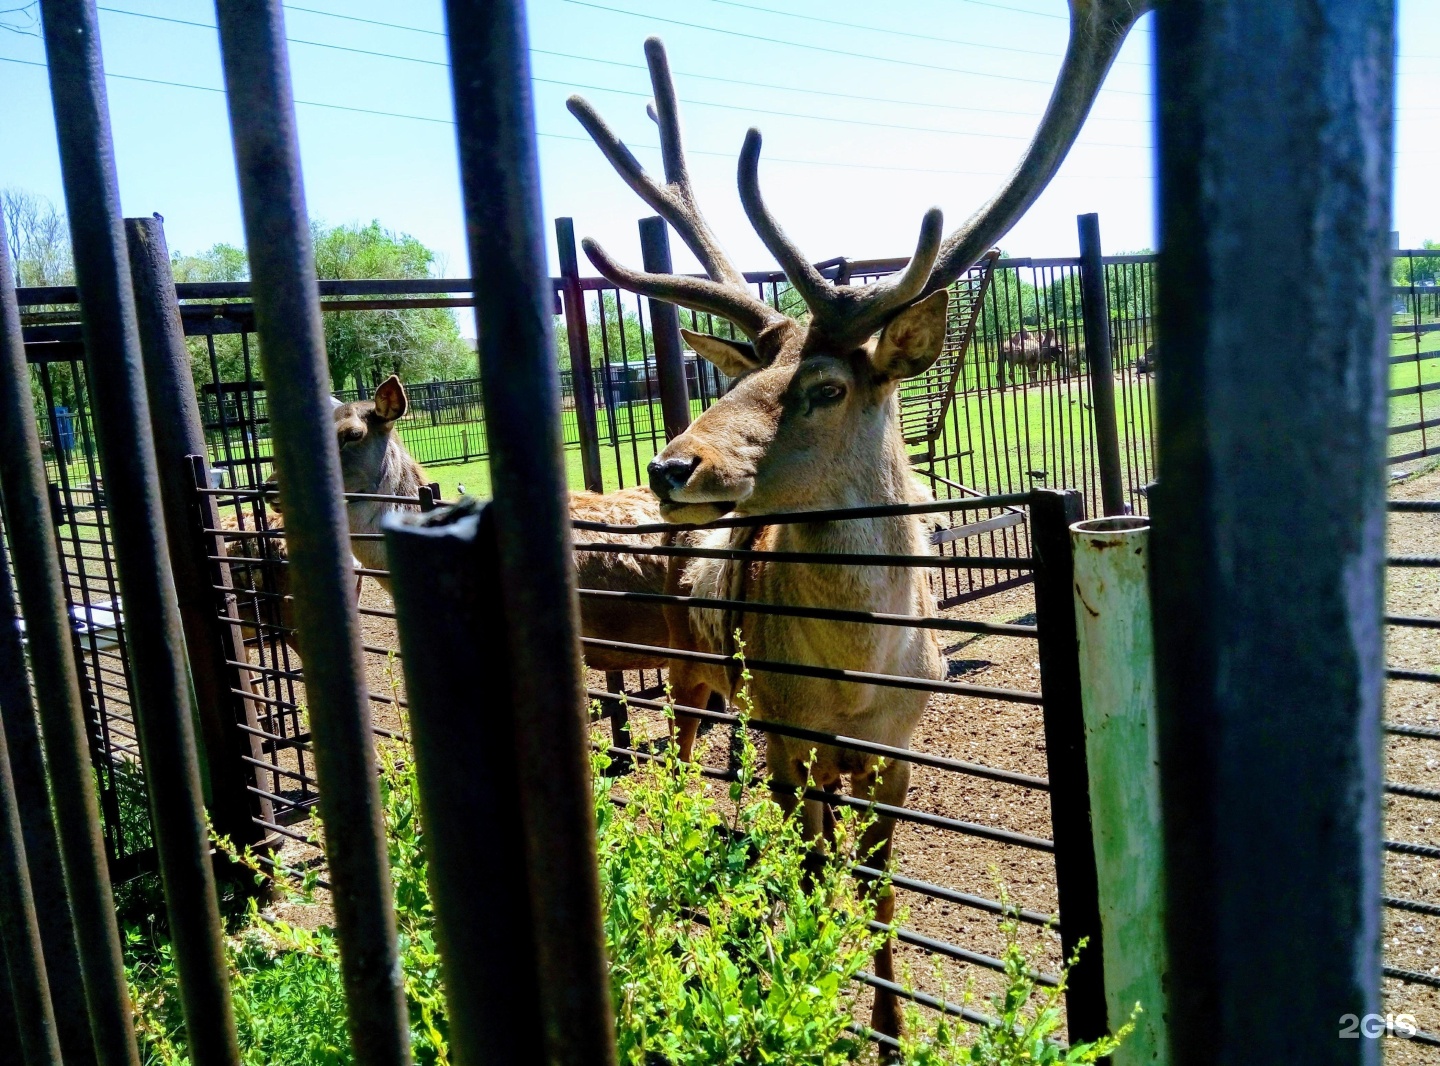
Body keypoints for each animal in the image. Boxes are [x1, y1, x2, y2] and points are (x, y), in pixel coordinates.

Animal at [567, 0, 1152, 1037]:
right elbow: (812, 872)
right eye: (744, 374)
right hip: (688, 663)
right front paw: (811, 988)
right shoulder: (792, 735)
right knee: (685, 753)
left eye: (826, 386)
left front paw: (888, 1019)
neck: (850, 674)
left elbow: (878, 888)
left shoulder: (894, 744)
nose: (672, 464)